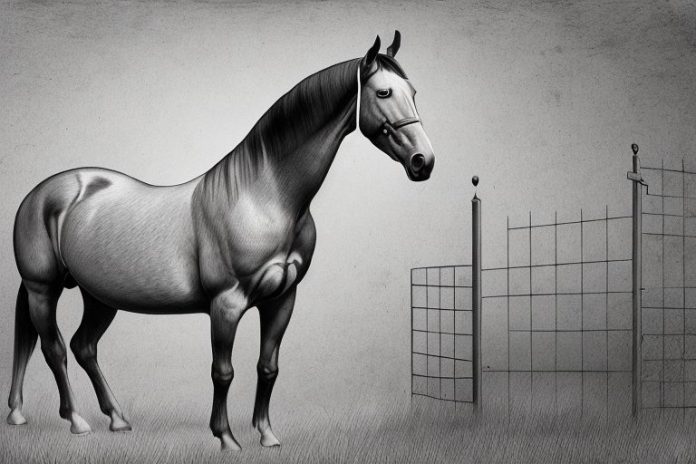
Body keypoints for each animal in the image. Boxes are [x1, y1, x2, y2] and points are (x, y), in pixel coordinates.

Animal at [6, 31, 434, 450]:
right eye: (383, 92)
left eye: (414, 91)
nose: (423, 161)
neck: (263, 197)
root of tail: (42, 192)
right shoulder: (225, 304)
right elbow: (223, 371)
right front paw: (226, 437)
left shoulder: (282, 299)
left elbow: (268, 366)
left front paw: (266, 434)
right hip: (43, 289)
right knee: (54, 349)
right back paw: (76, 421)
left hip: (100, 296)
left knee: (84, 347)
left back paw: (116, 418)